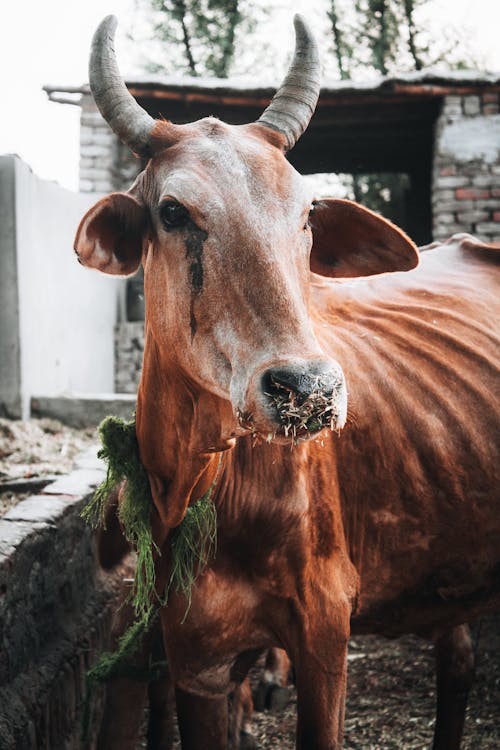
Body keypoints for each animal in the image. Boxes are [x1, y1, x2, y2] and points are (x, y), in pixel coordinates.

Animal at [75, 14, 500, 750]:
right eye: (173, 212)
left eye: (306, 214)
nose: (309, 390)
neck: (197, 483)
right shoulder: (195, 662)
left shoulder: (325, 631)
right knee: (457, 659)